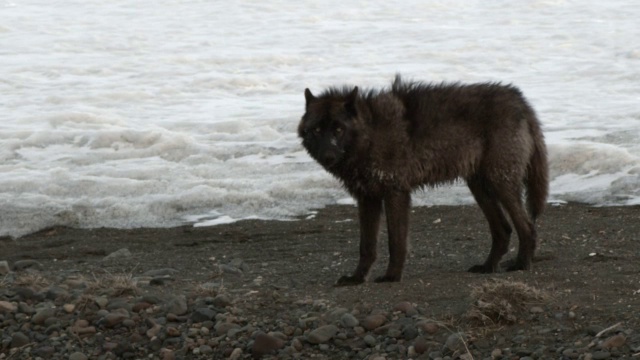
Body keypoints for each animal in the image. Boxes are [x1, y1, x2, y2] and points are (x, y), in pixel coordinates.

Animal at [298, 74, 548, 286]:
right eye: (317, 129)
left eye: (338, 129)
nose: (328, 156)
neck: (370, 134)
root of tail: (518, 98)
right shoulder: (367, 199)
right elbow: (366, 246)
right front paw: (356, 278)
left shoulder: (396, 193)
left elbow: (396, 241)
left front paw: (391, 276)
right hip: (480, 187)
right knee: (504, 230)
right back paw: (488, 267)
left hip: (500, 183)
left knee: (526, 226)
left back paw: (521, 264)